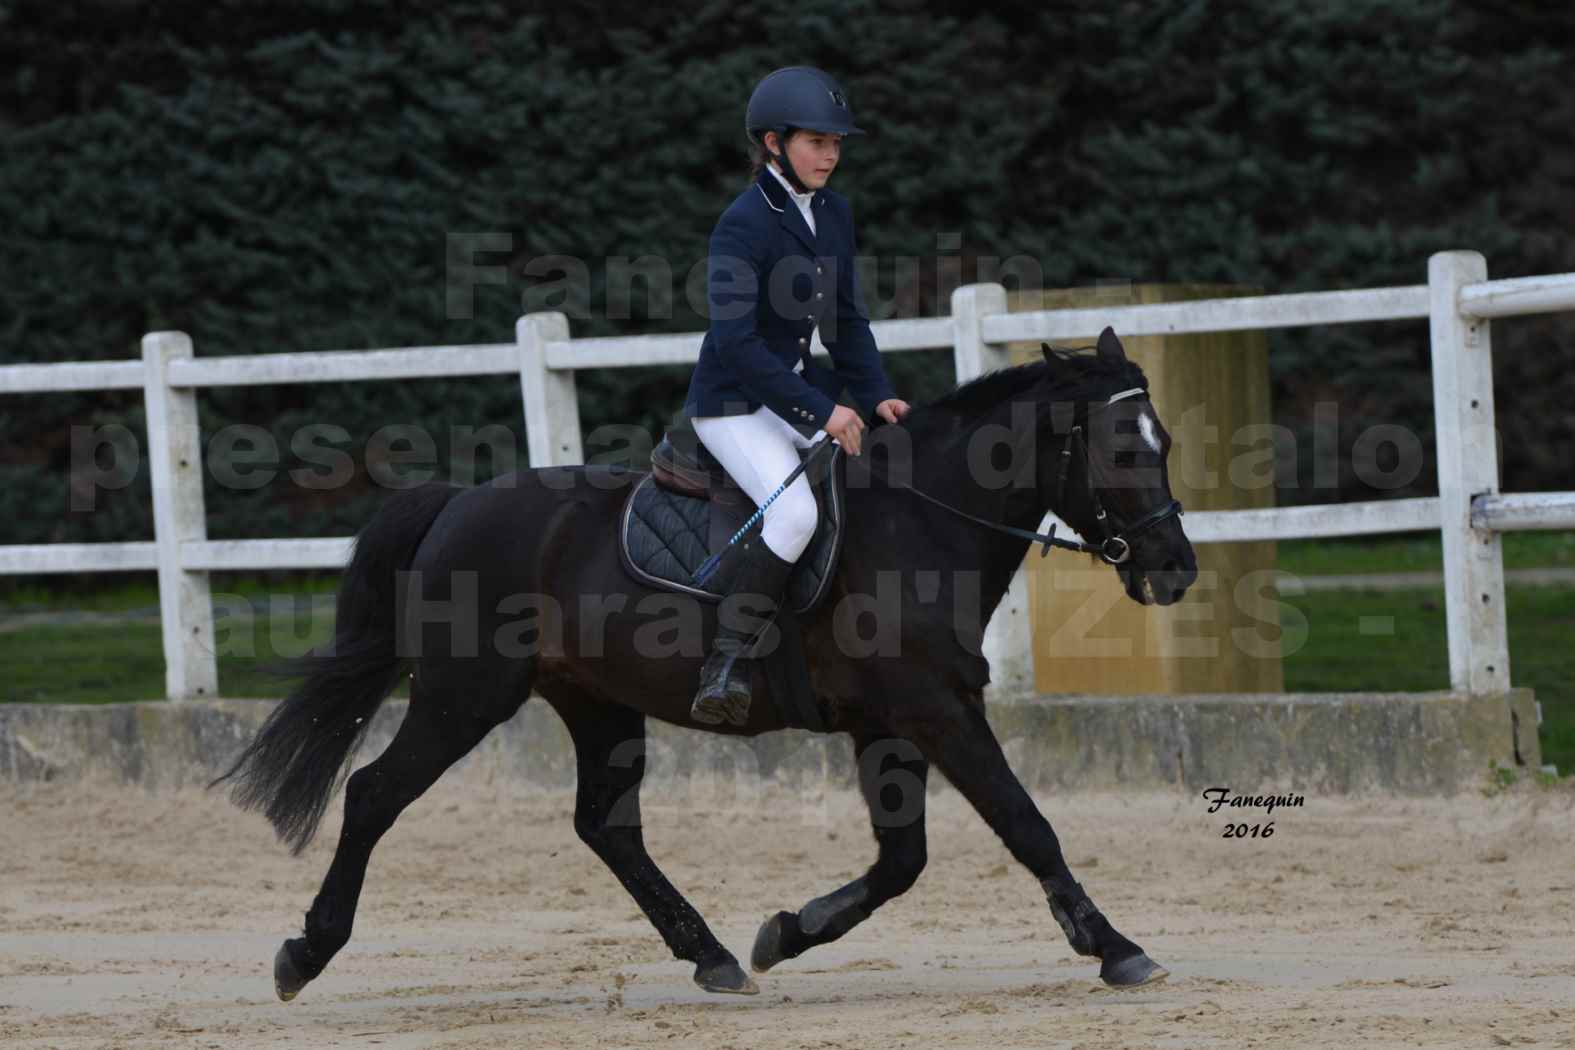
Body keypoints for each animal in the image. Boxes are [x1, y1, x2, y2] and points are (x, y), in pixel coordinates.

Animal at [215, 329, 1197, 1001]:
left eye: (1167, 442)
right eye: (1119, 448)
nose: (1174, 569)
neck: (922, 519)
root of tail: (458, 501)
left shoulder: (890, 723)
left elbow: (901, 860)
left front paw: (786, 932)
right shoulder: (936, 709)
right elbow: (1025, 825)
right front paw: (1115, 948)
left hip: (596, 703)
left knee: (606, 826)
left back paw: (715, 955)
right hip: (465, 697)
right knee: (374, 794)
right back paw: (304, 953)